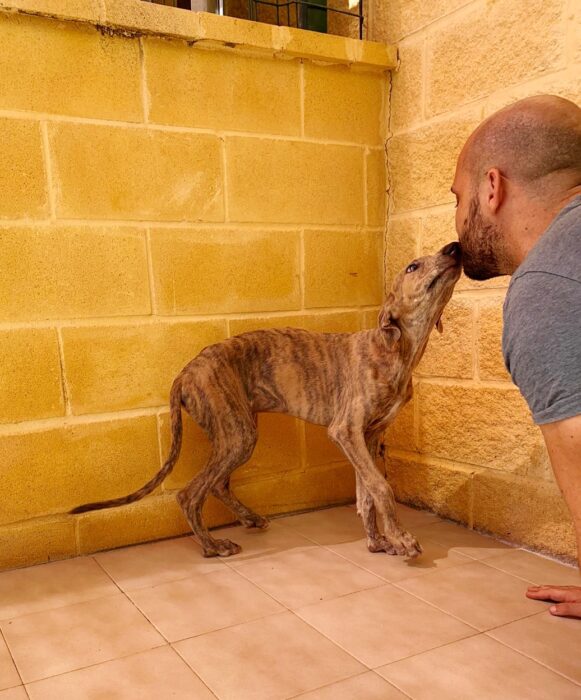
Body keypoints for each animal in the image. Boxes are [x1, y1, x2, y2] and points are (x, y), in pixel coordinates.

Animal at [71, 242, 462, 558]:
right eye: (412, 266)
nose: (455, 247)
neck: (395, 349)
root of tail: (185, 372)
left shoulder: (368, 436)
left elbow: (365, 494)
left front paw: (380, 542)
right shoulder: (346, 431)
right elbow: (381, 487)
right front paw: (402, 539)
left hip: (235, 431)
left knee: (217, 483)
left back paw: (248, 519)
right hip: (238, 434)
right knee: (191, 493)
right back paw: (212, 546)